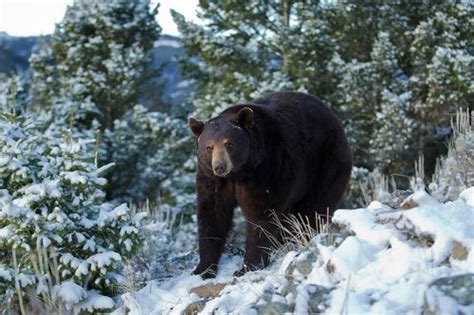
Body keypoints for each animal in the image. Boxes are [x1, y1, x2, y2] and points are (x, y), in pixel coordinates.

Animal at [189, 91, 352, 278]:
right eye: (209, 147)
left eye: (229, 143)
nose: (220, 167)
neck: (241, 171)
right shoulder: (212, 179)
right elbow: (212, 213)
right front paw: (203, 267)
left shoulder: (269, 168)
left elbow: (261, 215)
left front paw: (247, 266)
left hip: (325, 163)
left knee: (313, 207)